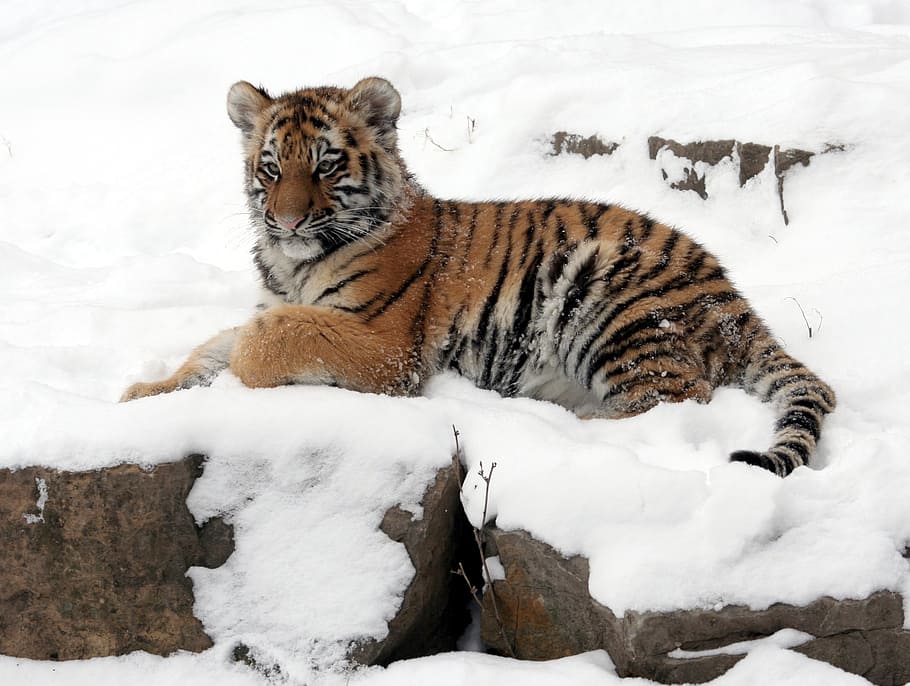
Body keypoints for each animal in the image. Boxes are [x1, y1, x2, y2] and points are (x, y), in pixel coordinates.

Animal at [120, 77, 836, 477]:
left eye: (324, 165)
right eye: (271, 167)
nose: (287, 219)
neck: (292, 264)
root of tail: (730, 292)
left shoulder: (386, 347)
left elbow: (265, 342)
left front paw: (238, 376)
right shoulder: (272, 305)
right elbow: (213, 348)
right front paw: (143, 394)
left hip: (609, 295)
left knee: (673, 400)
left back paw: (559, 423)